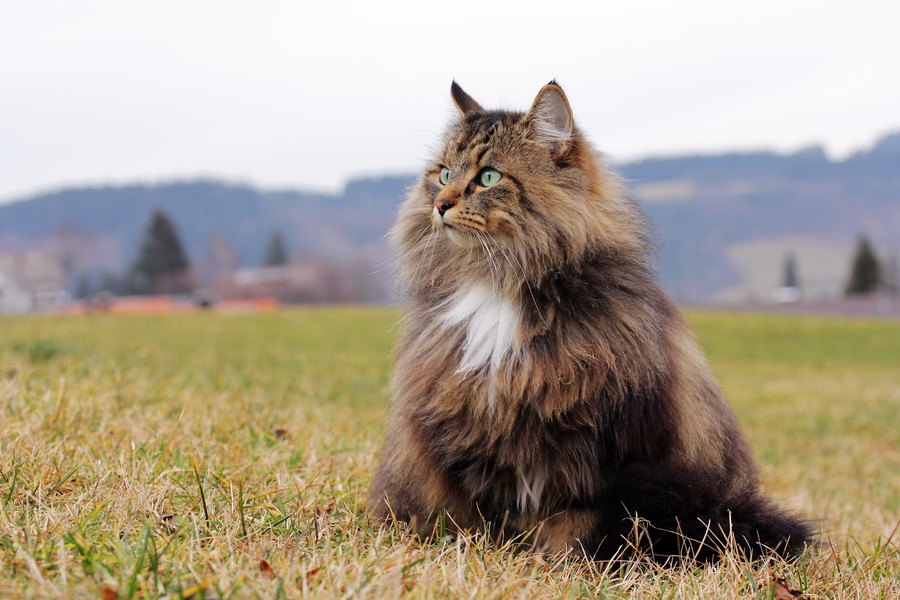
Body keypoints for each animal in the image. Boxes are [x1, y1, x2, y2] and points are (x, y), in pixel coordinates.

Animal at [370, 81, 812, 564]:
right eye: (444, 173)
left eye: (488, 177)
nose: (440, 204)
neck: (498, 280)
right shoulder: (466, 422)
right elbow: (484, 509)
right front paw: (488, 548)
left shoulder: (599, 444)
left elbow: (572, 517)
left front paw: (557, 559)